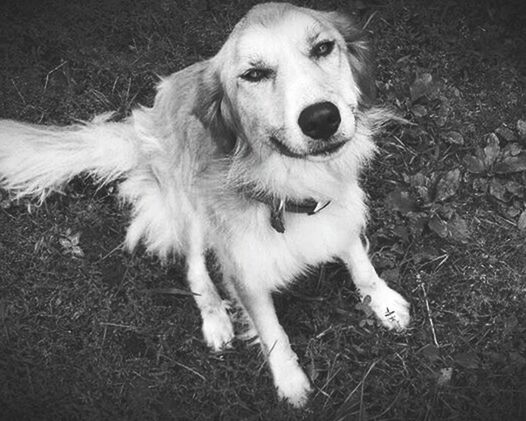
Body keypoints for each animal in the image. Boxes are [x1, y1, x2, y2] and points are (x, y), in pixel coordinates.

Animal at [0, 1, 412, 406]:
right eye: (255, 74)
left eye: (323, 48)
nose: (322, 118)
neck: (287, 187)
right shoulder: (244, 274)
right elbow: (272, 332)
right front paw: (290, 382)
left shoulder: (339, 209)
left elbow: (359, 261)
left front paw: (384, 302)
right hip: (189, 207)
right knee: (195, 269)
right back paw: (215, 319)